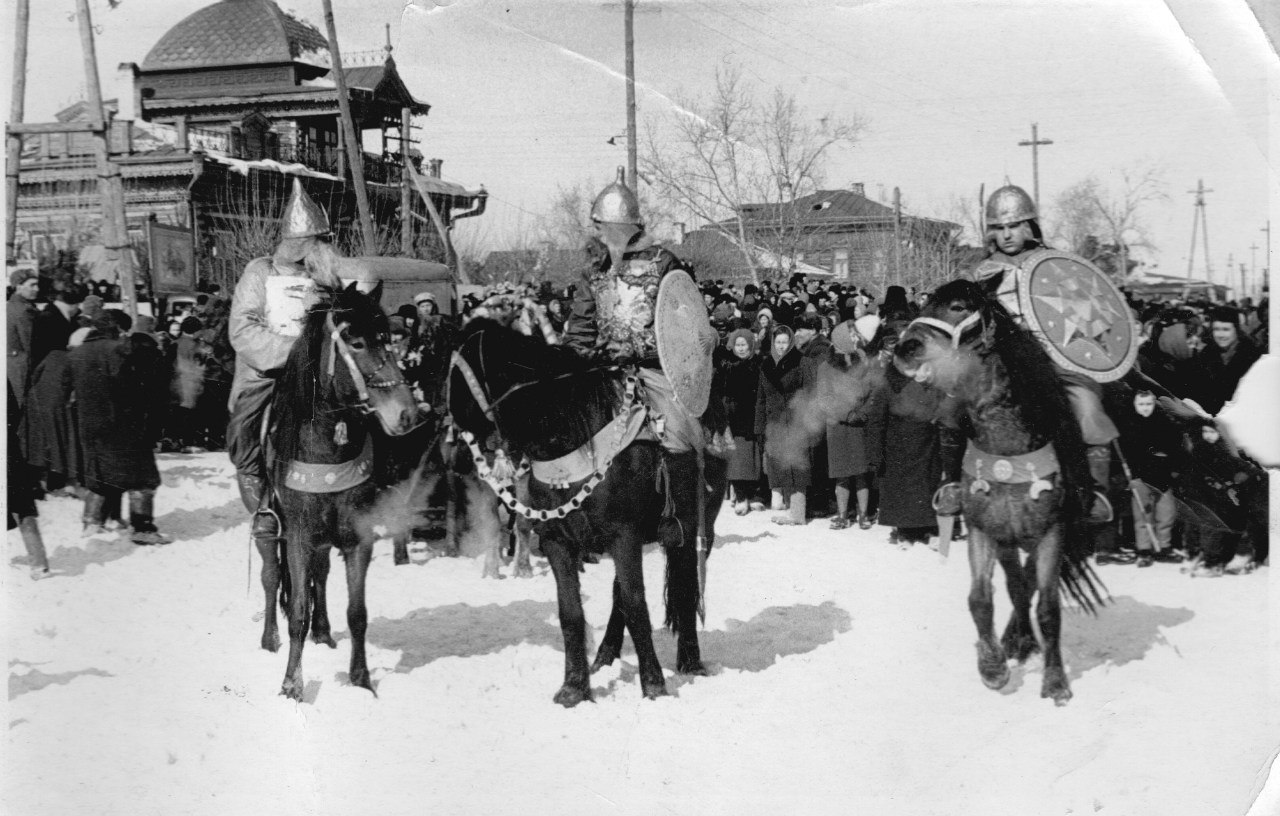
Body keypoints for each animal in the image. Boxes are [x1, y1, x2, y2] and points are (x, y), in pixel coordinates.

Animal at [261, 282, 417, 706]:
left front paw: (361, 680)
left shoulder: (357, 537)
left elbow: (357, 613)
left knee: (321, 574)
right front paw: (291, 685)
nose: (407, 415)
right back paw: (269, 639)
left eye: (389, 339)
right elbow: (297, 610)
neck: (326, 450)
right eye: (356, 342)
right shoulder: (297, 535)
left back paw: (324, 632)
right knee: (270, 577)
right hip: (269, 527)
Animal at [450, 319, 732, 711]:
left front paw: (653, 684)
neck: (571, 432)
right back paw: (605, 655)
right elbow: (572, 611)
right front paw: (574, 688)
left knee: (685, 582)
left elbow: (637, 604)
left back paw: (691, 660)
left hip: (694, 527)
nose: (456, 457)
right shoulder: (558, 541)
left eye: (452, 379)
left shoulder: (624, 535)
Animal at [890, 280, 1111, 706]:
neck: (1008, 447)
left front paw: (1056, 683)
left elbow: (1048, 608)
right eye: (924, 301)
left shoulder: (1052, 533)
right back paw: (1017, 640)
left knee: (1030, 586)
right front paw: (992, 667)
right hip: (1009, 539)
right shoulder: (985, 530)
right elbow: (981, 597)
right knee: (1017, 586)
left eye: (959, 306)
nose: (905, 347)